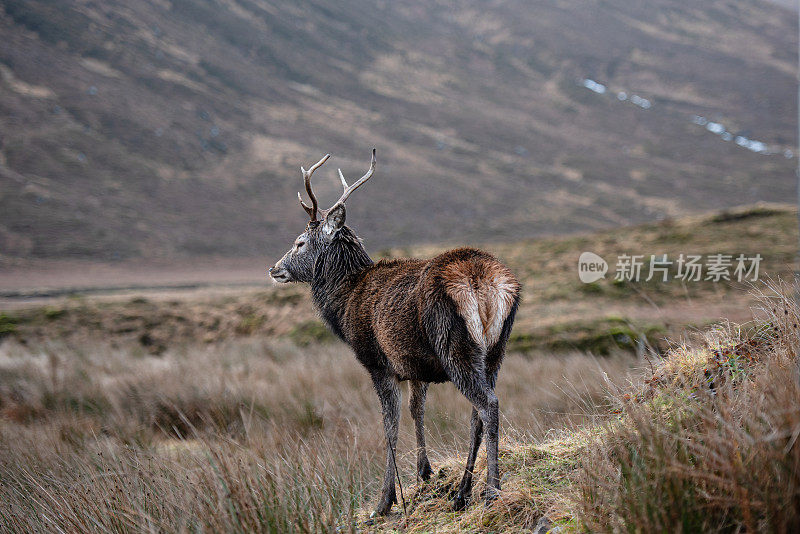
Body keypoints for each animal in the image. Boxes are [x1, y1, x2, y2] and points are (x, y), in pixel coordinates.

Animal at [268, 149, 520, 516]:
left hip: (454, 345)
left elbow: (389, 426)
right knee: (478, 414)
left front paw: (384, 502)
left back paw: (491, 492)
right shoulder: (415, 365)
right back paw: (462, 492)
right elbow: (417, 410)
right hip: (496, 350)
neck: (345, 302)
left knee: (488, 405)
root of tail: (483, 281)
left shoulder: (377, 362)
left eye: (300, 242)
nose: (274, 268)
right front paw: (424, 473)